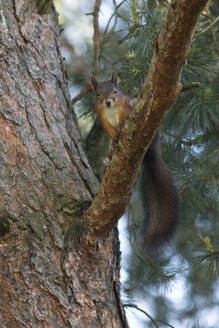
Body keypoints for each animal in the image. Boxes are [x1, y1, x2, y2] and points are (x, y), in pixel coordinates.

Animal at [90, 73, 178, 250]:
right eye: (97, 94)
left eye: (115, 91)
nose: (107, 101)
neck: (111, 110)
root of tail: (151, 152)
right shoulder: (104, 120)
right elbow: (111, 131)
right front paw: (115, 138)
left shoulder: (127, 109)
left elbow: (126, 118)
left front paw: (121, 127)